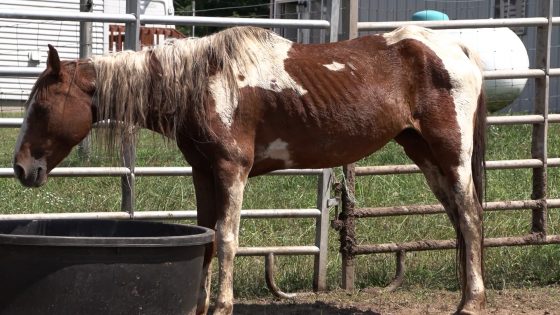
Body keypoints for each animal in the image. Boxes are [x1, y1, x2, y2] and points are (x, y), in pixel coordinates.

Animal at [13, 25, 486, 314]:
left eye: (41, 107)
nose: (20, 168)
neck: (203, 83)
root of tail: (458, 50)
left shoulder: (231, 171)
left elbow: (226, 238)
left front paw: (221, 305)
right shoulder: (203, 173)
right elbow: (205, 237)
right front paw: (199, 306)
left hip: (451, 155)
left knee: (470, 218)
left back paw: (472, 302)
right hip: (424, 155)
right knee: (459, 223)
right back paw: (464, 296)